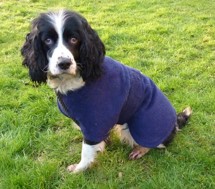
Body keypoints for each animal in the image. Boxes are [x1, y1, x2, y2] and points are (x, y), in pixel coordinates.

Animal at [20, 9, 191, 173]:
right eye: (47, 40)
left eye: (74, 39)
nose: (64, 63)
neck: (77, 79)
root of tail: (175, 123)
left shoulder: (94, 122)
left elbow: (86, 151)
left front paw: (79, 169)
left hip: (138, 126)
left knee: (158, 143)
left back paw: (140, 150)